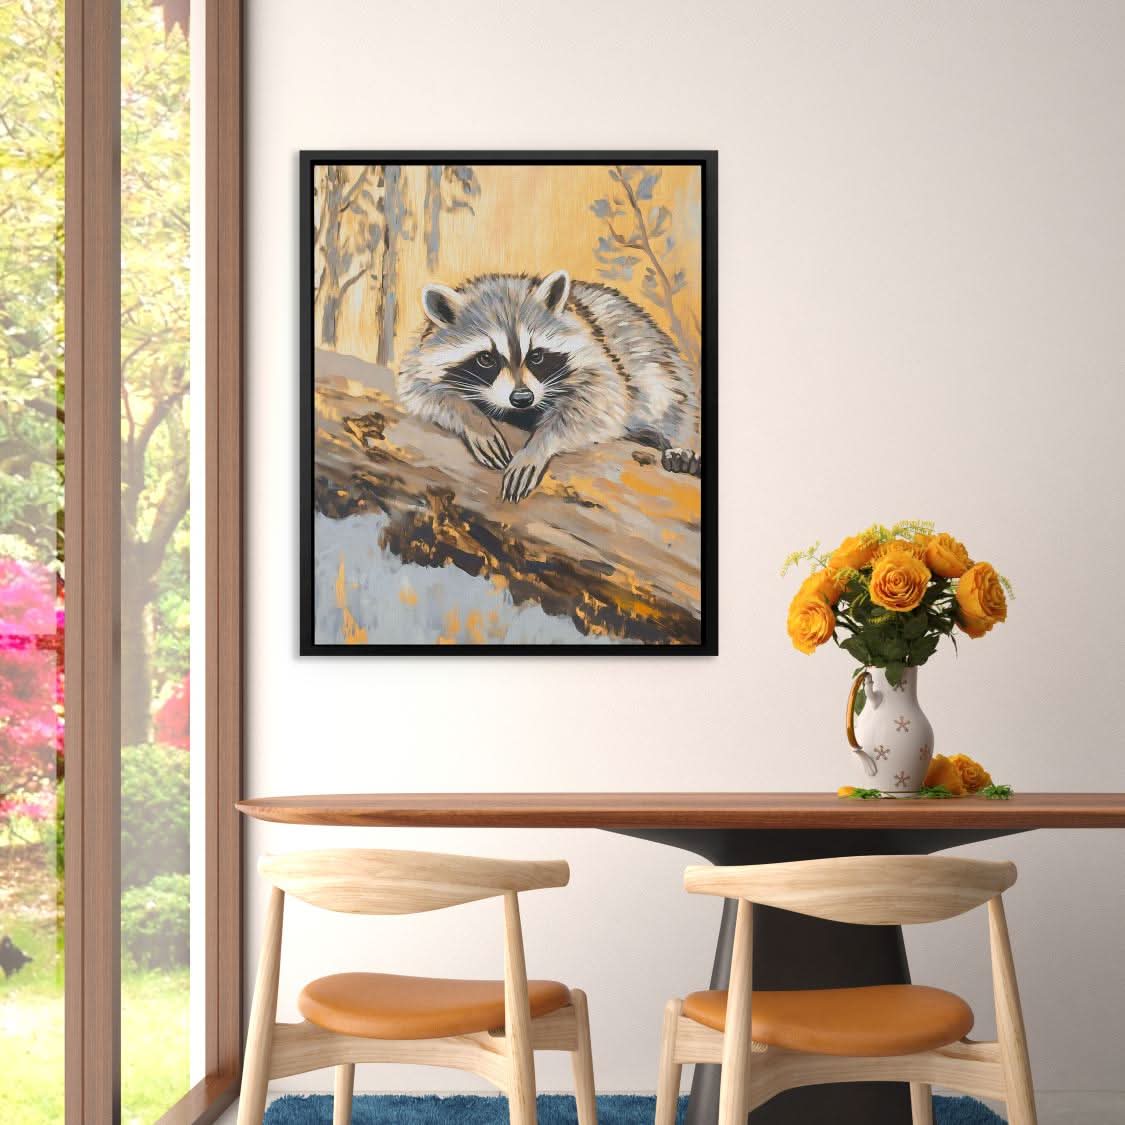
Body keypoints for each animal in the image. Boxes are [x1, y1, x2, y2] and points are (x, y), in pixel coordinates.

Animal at [396, 270, 699, 502]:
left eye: (537, 356)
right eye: (486, 359)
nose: (522, 398)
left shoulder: (599, 358)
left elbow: (603, 400)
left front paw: (539, 444)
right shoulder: (421, 356)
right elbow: (419, 388)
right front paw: (472, 419)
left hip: (661, 363)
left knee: (673, 402)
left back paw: (678, 443)